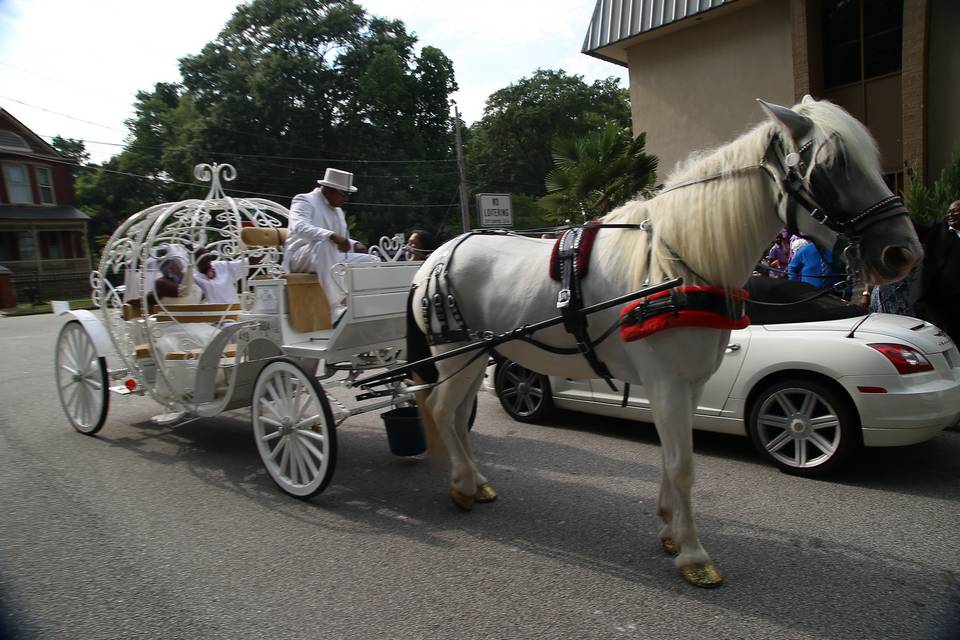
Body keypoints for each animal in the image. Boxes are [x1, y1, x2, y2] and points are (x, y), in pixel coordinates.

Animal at [404, 96, 924, 584]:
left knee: (457, 416)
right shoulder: (667, 384)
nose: (903, 252)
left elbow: (671, 458)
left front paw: (670, 531)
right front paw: (694, 555)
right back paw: (461, 486)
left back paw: (475, 481)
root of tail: (438, 256)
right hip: (454, 354)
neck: (677, 268)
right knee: (443, 411)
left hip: (476, 356)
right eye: (833, 167)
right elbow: (682, 465)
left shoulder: (688, 385)